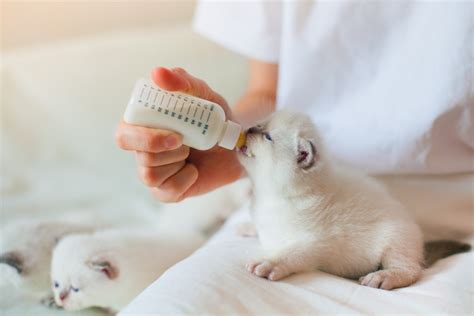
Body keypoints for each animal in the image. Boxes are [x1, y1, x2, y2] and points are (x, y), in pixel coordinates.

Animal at [239, 110, 424, 288]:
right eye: (260, 124)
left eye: (268, 137)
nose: (249, 129)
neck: (273, 194)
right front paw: (247, 227)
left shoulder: (315, 243)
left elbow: (291, 254)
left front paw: (268, 262)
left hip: (396, 240)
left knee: (410, 269)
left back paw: (382, 276)